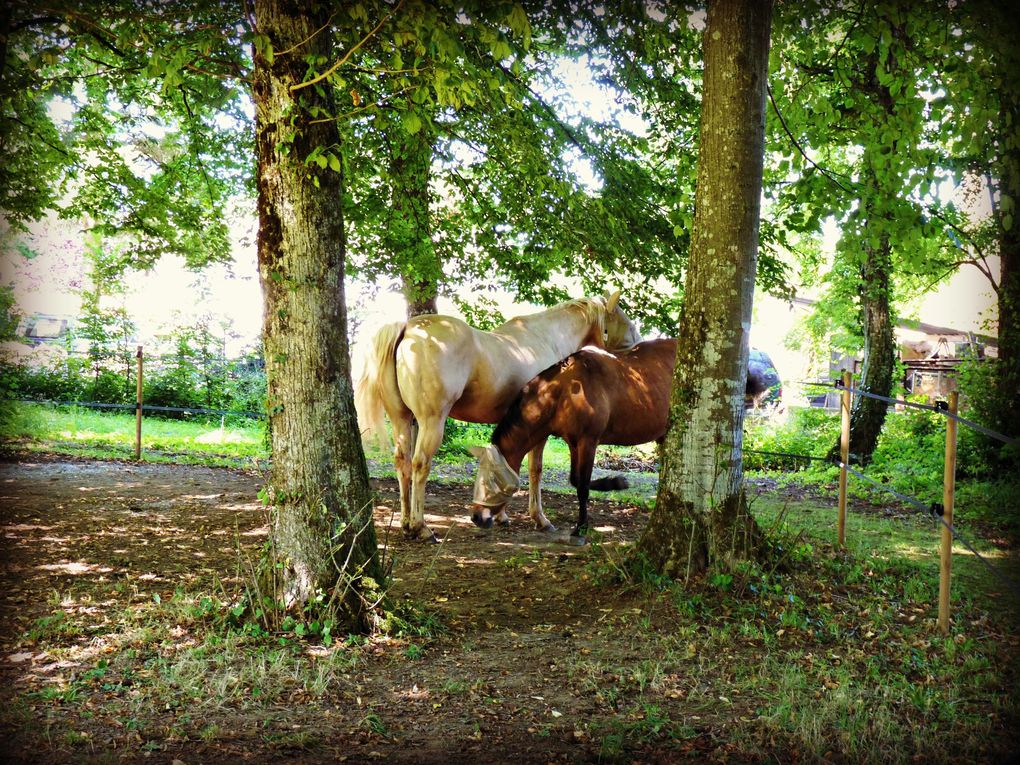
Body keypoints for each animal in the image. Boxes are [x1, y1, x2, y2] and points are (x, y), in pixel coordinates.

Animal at [354, 289, 632, 542]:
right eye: (623, 317)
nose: (636, 342)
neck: (546, 339)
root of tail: (408, 329)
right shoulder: (539, 430)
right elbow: (534, 470)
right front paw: (539, 519)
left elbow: (508, 466)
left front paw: (500, 515)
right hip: (431, 422)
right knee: (420, 464)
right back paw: (421, 528)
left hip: (401, 419)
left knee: (402, 463)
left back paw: (405, 524)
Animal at [473, 338, 767, 542]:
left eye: (494, 481)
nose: (477, 517)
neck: (564, 390)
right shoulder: (573, 441)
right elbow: (575, 480)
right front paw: (612, 484)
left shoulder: (588, 440)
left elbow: (581, 485)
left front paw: (583, 524)